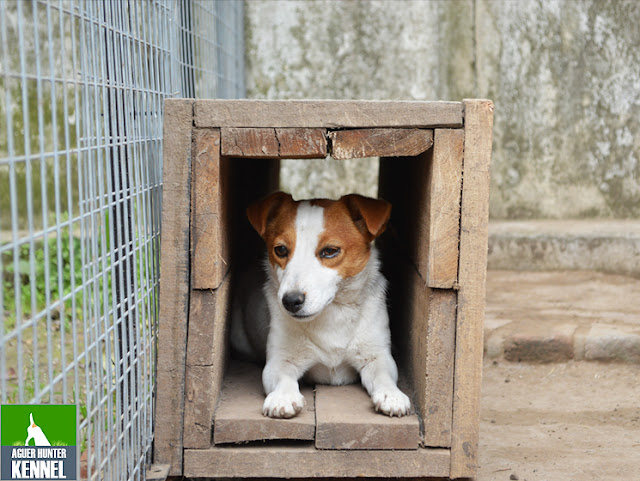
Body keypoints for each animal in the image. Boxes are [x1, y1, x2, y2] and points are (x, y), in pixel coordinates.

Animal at [230, 190, 410, 416]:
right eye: (280, 250)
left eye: (330, 251)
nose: (290, 301)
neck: (332, 313)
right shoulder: (279, 360)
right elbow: (283, 378)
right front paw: (283, 397)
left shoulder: (376, 356)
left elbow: (384, 376)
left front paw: (391, 394)